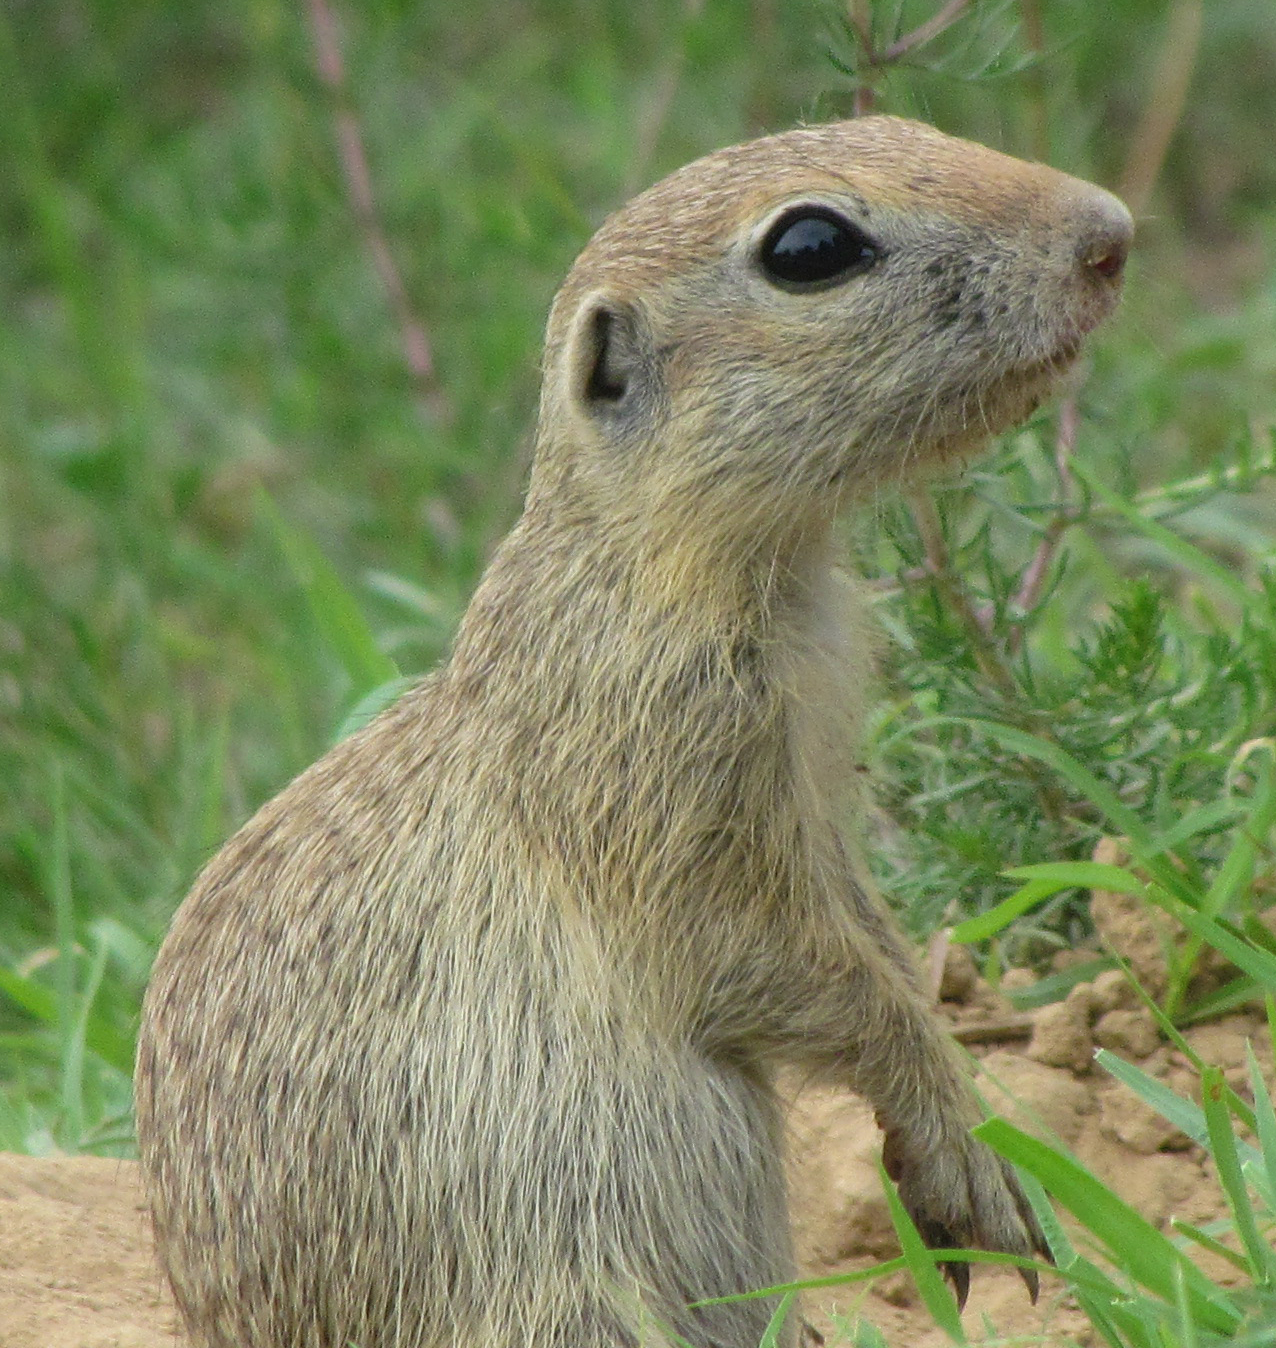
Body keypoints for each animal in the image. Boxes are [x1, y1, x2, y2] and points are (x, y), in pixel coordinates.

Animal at [134, 118, 1131, 1348]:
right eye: (810, 246)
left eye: (923, 130)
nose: (1110, 233)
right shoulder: (658, 767)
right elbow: (791, 967)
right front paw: (965, 1148)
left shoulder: (814, 789)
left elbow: (874, 934)